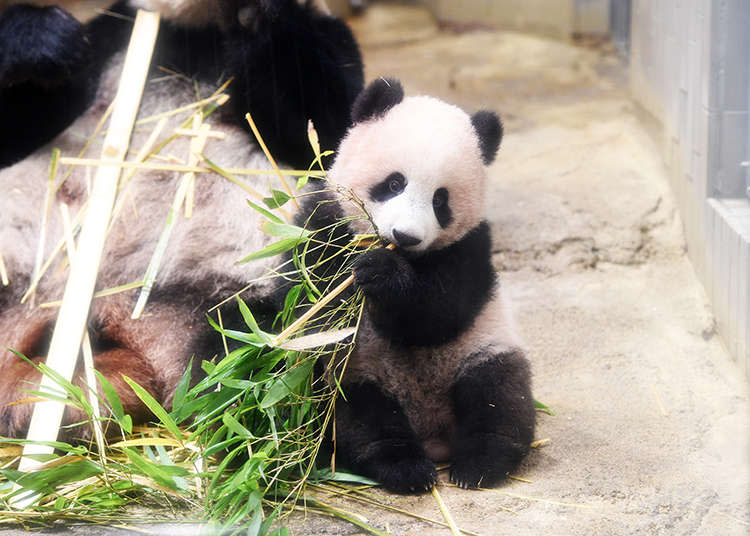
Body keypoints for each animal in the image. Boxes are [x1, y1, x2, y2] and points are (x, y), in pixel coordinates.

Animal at [0, 1, 364, 440]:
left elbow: (326, 124)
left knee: (266, 351)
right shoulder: (108, 43)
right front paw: (41, 40)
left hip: (222, 296)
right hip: (16, 277)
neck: (196, 31)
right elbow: (19, 129)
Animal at [302, 79, 536, 494]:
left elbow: (437, 315)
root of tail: (432, 433)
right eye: (394, 183)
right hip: (357, 374)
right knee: (361, 418)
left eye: (441, 200)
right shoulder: (325, 221)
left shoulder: (471, 247)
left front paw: (382, 275)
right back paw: (405, 467)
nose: (405, 236)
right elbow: (317, 303)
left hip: (481, 350)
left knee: (499, 395)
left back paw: (479, 464)